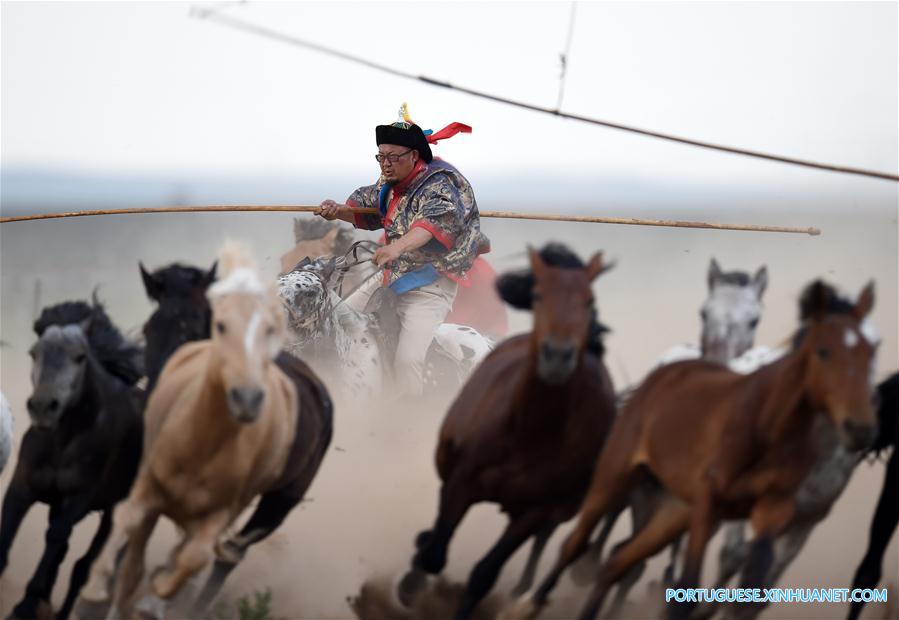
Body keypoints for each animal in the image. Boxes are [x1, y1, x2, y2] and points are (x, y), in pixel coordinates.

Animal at [0, 298, 143, 616]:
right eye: (34, 353)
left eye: (80, 356)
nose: (43, 406)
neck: (62, 441)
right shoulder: (22, 484)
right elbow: (9, 524)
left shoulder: (78, 497)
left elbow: (56, 537)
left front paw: (26, 605)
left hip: (112, 511)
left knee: (82, 567)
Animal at [398, 243, 616, 620]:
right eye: (538, 295)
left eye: (589, 301)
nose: (558, 355)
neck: (528, 432)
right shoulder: (461, 482)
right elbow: (435, 551)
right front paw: (411, 584)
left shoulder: (534, 512)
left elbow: (484, 574)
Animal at [512, 280, 880, 620]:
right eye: (823, 350)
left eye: (875, 348)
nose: (861, 426)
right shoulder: (715, 504)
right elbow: (714, 570)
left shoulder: (797, 517)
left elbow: (754, 589)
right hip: (629, 483)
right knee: (590, 539)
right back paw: (538, 593)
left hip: (672, 505)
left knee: (623, 555)